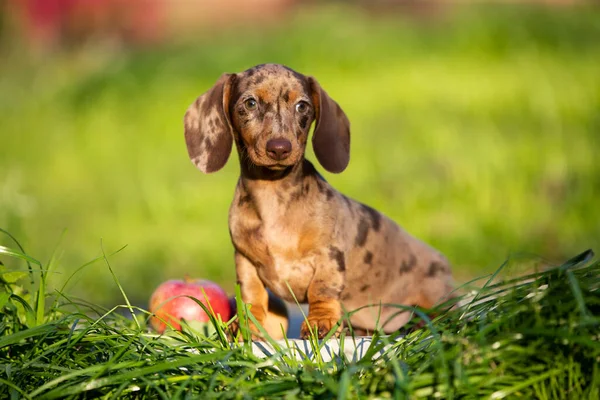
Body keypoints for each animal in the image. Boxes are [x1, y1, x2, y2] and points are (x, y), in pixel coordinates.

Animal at [185, 64, 452, 340]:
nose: (279, 148)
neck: (273, 196)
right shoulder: (245, 261)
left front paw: (320, 322)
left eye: (302, 106)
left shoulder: (328, 256)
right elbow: (251, 295)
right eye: (250, 103)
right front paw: (247, 325)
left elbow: (321, 290)